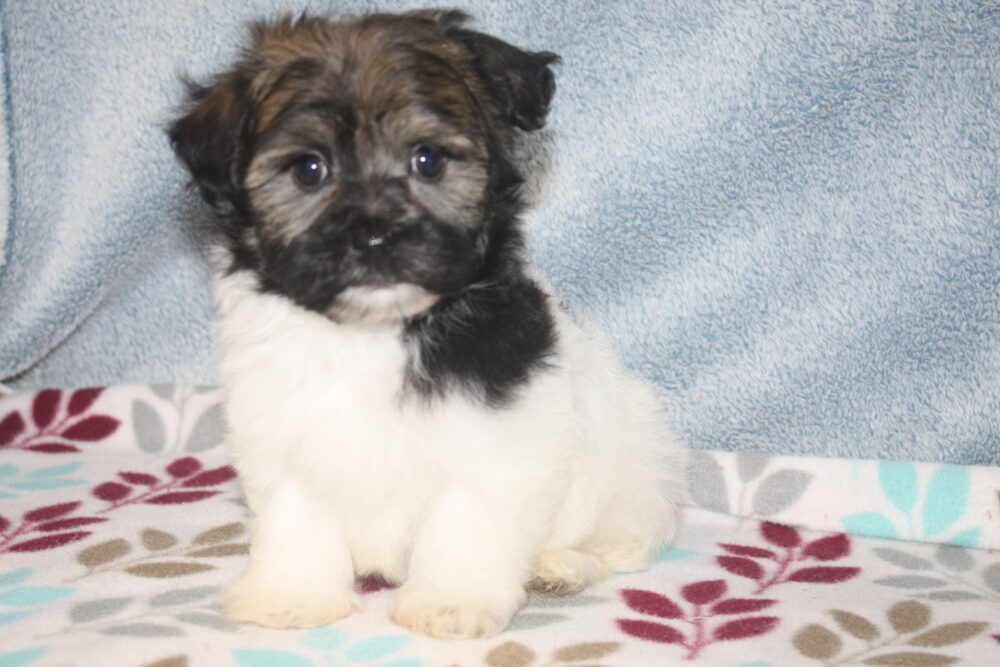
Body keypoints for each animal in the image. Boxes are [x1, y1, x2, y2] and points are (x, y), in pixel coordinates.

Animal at [172, 7, 688, 640]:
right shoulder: (282, 428)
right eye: (309, 169)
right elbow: (297, 515)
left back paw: (558, 565)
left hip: (633, 465)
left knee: (622, 541)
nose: (374, 234)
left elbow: (467, 522)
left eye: (429, 160)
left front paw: (451, 603)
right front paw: (291, 596)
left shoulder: (498, 435)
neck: (373, 331)